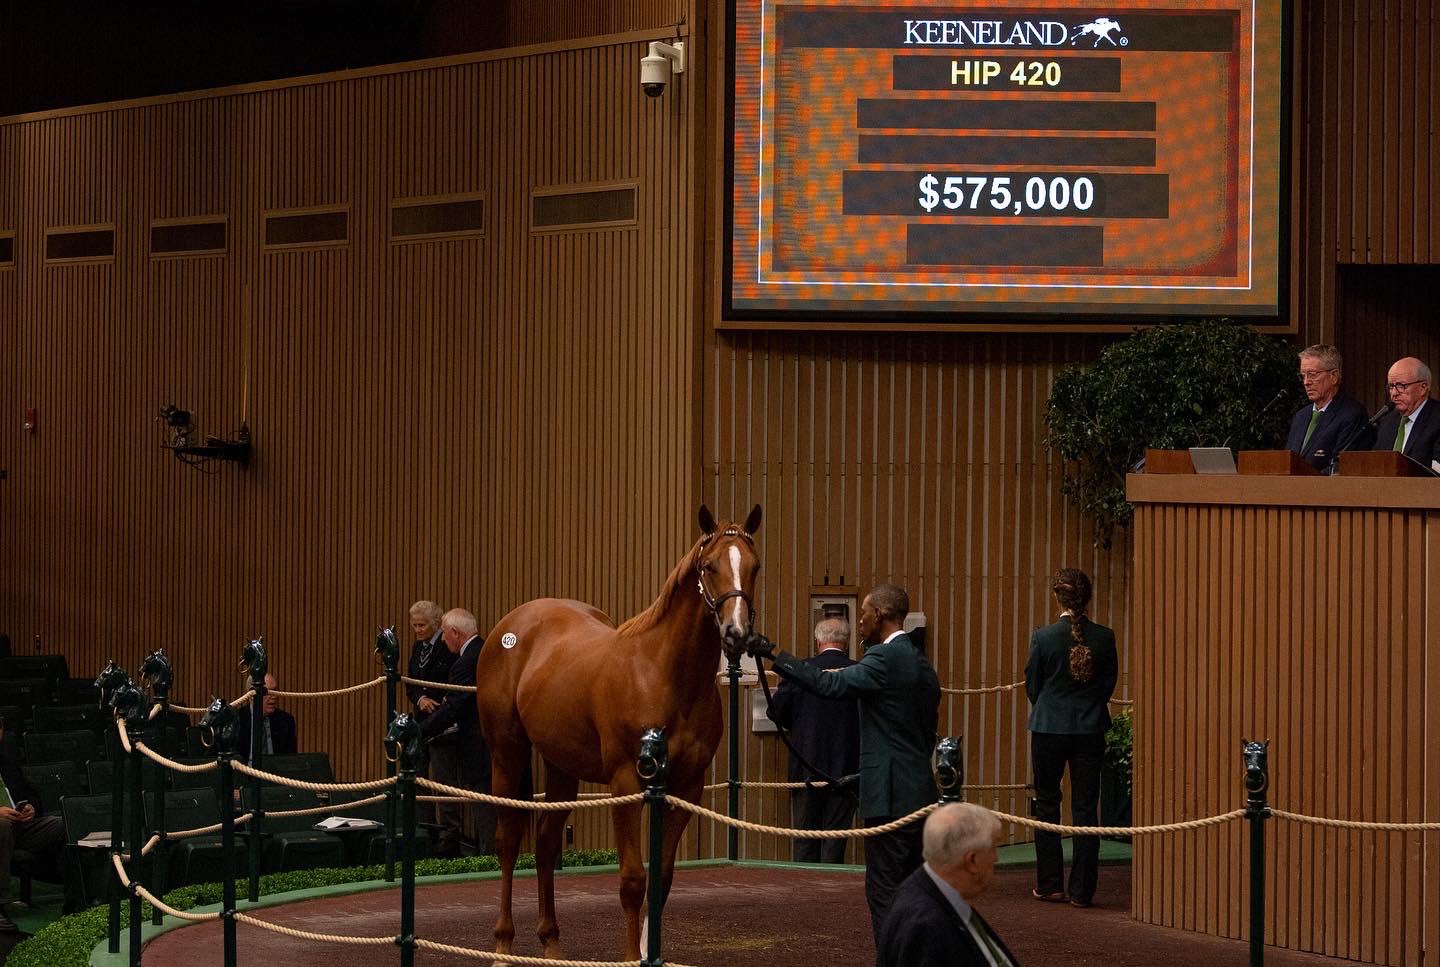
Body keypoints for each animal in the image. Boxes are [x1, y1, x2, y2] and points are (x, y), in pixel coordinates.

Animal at [475, 506, 766, 961]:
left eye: (754, 566)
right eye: (710, 566)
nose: (736, 634)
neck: (662, 675)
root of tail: (511, 627)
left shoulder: (685, 787)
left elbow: (661, 880)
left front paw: (651, 952)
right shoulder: (626, 781)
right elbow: (632, 880)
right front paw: (632, 957)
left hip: (562, 766)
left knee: (546, 844)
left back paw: (552, 944)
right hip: (507, 754)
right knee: (508, 843)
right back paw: (503, 946)